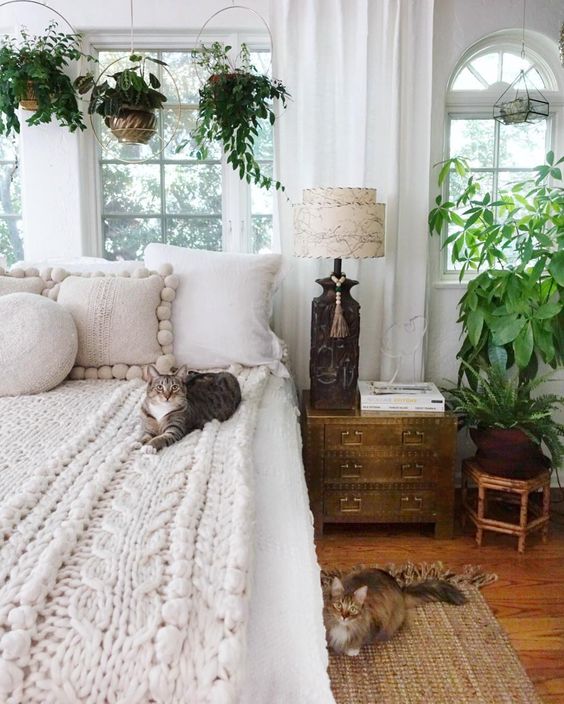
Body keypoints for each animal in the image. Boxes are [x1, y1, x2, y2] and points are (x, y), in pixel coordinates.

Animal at [324, 564, 464, 656]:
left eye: (353, 609)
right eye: (338, 605)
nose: (344, 616)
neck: (342, 627)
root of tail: (401, 590)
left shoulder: (376, 623)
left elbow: (361, 639)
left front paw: (352, 649)